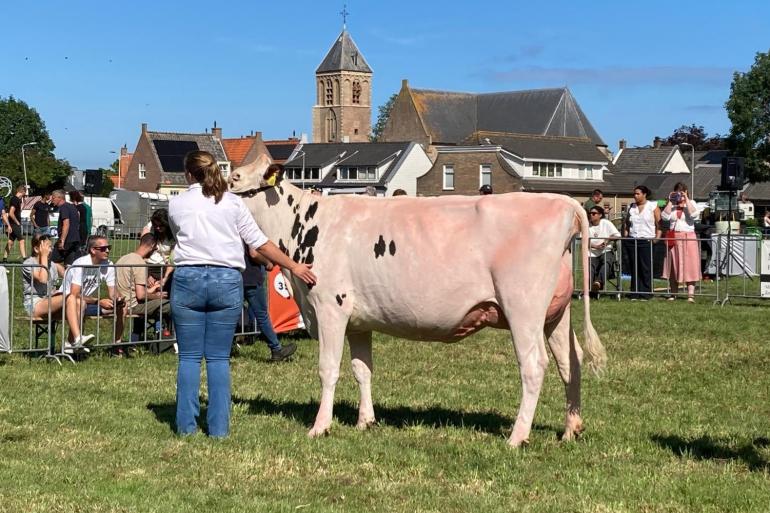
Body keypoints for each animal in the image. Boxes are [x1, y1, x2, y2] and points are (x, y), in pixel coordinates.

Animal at [230, 157, 608, 448]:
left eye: (234, 178)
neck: (306, 223)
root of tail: (562, 202)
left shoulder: (329, 308)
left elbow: (328, 369)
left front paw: (320, 427)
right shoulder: (358, 320)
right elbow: (362, 369)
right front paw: (365, 421)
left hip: (523, 308)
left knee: (534, 365)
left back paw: (517, 436)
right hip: (556, 312)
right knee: (569, 361)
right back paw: (571, 430)